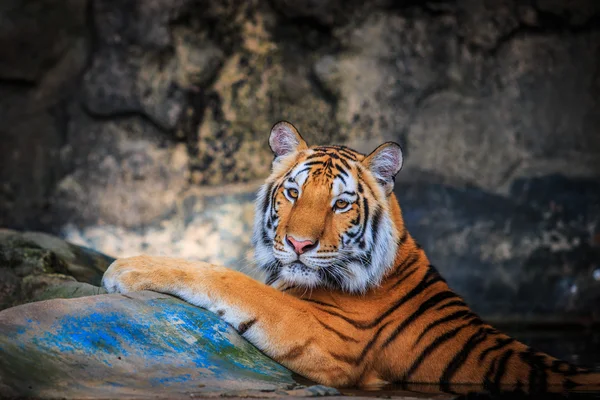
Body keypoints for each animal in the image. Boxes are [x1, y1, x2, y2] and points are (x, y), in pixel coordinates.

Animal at [103, 119, 600, 394]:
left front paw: (128, 266)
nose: (298, 245)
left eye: (341, 204)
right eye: (293, 192)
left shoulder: (328, 338)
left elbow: (232, 281)